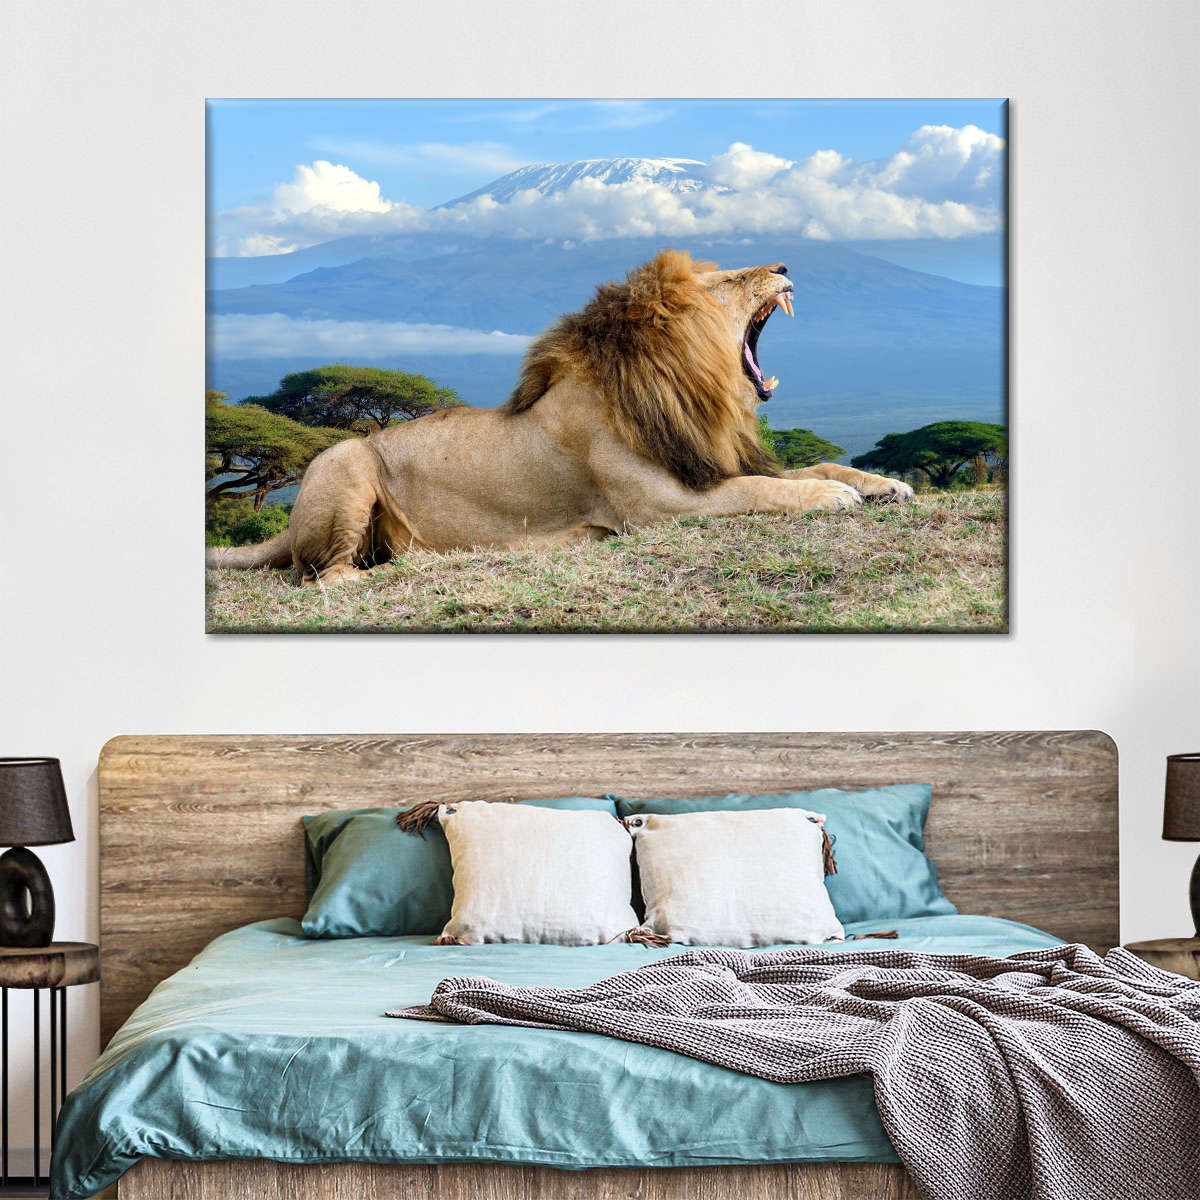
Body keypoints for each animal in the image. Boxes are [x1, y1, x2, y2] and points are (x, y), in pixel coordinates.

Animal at [207, 250, 912, 585]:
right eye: (730, 281)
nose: (786, 265)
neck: (688, 389)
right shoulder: (658, 507)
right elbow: (762, 489)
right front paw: (833, 497)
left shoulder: (707, 460)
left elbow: (809, 463)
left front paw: (884, 483)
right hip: (347, 460)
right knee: (326, 578)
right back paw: (413, 564)